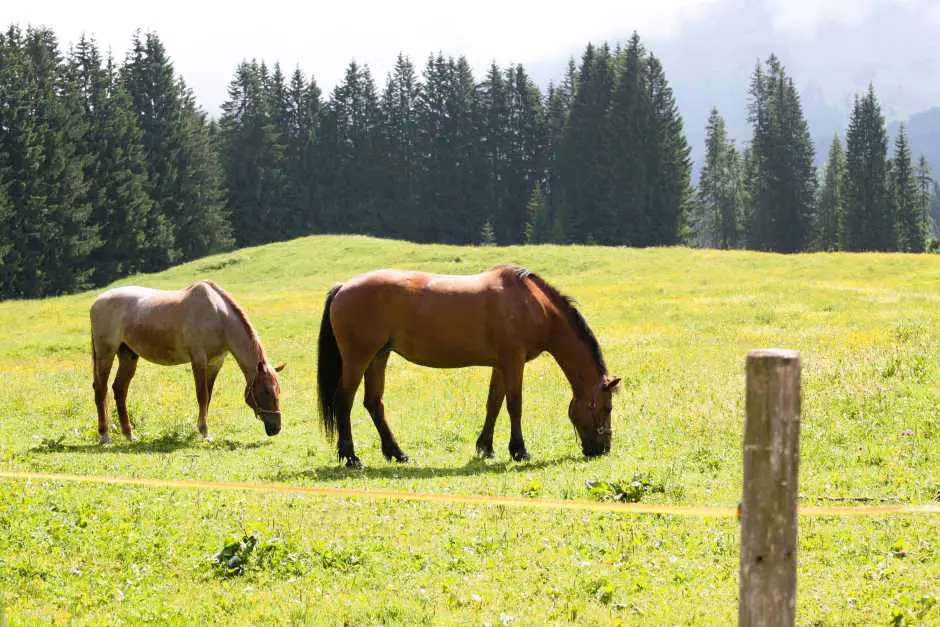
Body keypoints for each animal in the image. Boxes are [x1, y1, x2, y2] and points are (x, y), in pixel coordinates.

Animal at [90, 280, 284, 442]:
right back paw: (105, 435)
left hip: (128, 355)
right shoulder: (198, 360)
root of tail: (97, 302)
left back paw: (129, 434)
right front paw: (204, 432)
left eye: (278, 390)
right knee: (101, 389)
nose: (276, 427)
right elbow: (202, 395)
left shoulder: (215, 363)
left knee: (119, 389)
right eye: (265, 391)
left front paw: (200, 429)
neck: (218, 316)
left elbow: (208, 396)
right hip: (106, 354)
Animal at [318, 264, 624, 466]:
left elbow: (494, 404)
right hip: (359, 358)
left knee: (373, 403)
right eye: (607, 408)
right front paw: (519, 450)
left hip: (378, 356)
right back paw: (351, 457)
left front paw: (486, 447)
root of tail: (343, 288)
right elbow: (515, 405)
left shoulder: (501, 364)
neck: (532, 303)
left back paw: (396, 452)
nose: (602, 449)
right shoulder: (513, 360)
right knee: (344, 400)